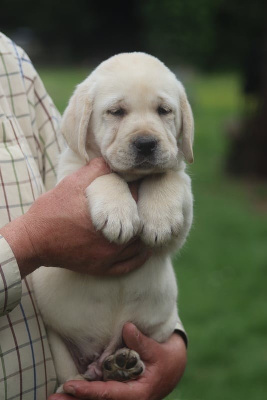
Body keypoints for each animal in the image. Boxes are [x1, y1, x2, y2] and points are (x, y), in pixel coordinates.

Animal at [32, 51, 194, 392]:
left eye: (164, 111)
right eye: (116, 112)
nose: (146, 143)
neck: (133, 178)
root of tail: (100, 356)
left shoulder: (181, 200)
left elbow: (168, 176)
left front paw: (159, 218)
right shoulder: (71, 176)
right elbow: (104, 172)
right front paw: (118, 213)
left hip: (157, 330)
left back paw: (122, 365)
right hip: (56, 340)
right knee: (71, 376)